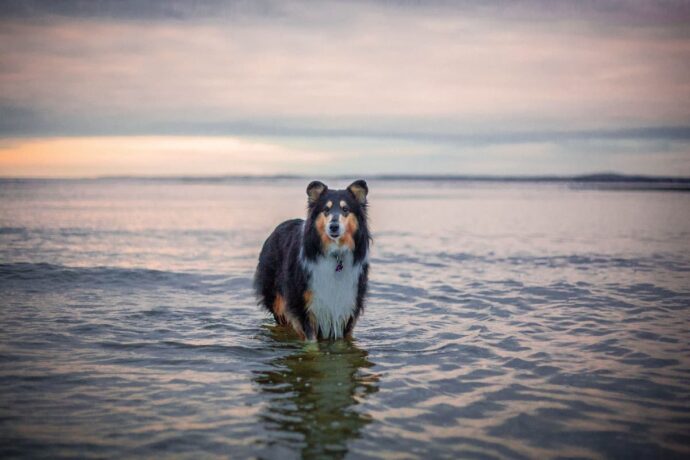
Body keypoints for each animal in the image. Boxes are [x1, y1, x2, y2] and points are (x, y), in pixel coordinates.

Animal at [254, 179, 370, 338]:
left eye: (345, 209)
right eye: (326, 209)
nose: (334, 227)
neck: (335, 253)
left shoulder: (349, 302)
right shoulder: (302, 304)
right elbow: (311, 339)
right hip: (276, 299)